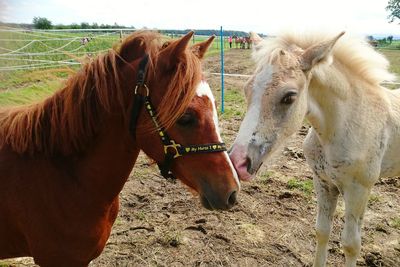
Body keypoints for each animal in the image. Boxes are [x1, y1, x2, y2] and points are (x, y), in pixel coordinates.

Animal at [228, 30, 400, 266]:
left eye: (289, 97)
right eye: (247, 89)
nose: (238, 162)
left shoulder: (359, 189)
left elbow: (351, 245)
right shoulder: (323, 181)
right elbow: (322, 231)